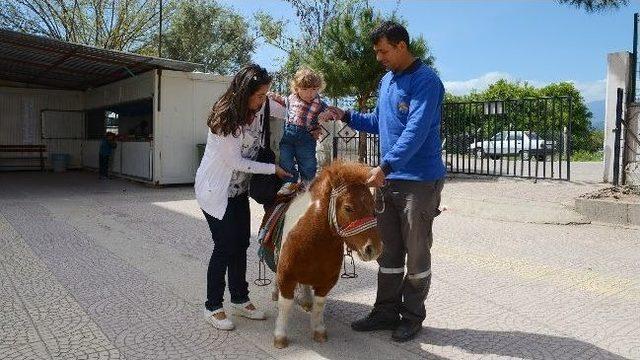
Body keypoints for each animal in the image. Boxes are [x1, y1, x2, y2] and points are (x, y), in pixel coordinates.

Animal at [272, 160, 382, 348]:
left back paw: (306, 300)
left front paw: (319, 331)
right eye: (348, 208)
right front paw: (280, 336)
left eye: (373, 205)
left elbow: (319, 305)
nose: (373, 249)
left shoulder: (326, 282)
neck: (314, 244)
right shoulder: (286, 277)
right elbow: (285, 305)